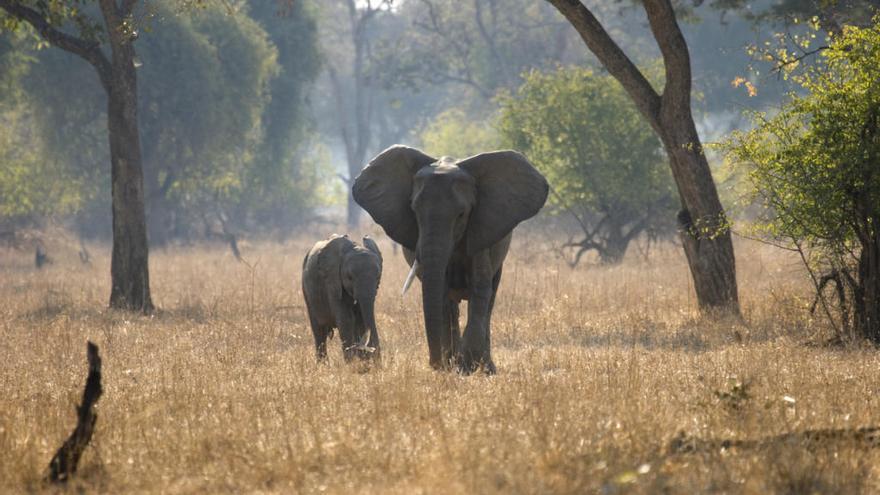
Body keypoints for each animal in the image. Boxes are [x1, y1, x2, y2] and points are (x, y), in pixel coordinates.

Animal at [302, 234, 382, 362]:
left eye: (378, 277)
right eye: (350, 277)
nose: (372, 352)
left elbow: (360, 319)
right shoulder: (332, 282)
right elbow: (346, 319)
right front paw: (352, 363)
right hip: (307, 292)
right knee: (319, 332)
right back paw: (323, 365)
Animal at [352, 145, 548, 374]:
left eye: (462, 214)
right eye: (414, 211)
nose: (433, 363)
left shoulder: (481, 231)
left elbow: (480, 289)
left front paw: (469, 365)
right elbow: (442, 295)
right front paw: (453, 366)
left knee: (490, 297)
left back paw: (485, 366)